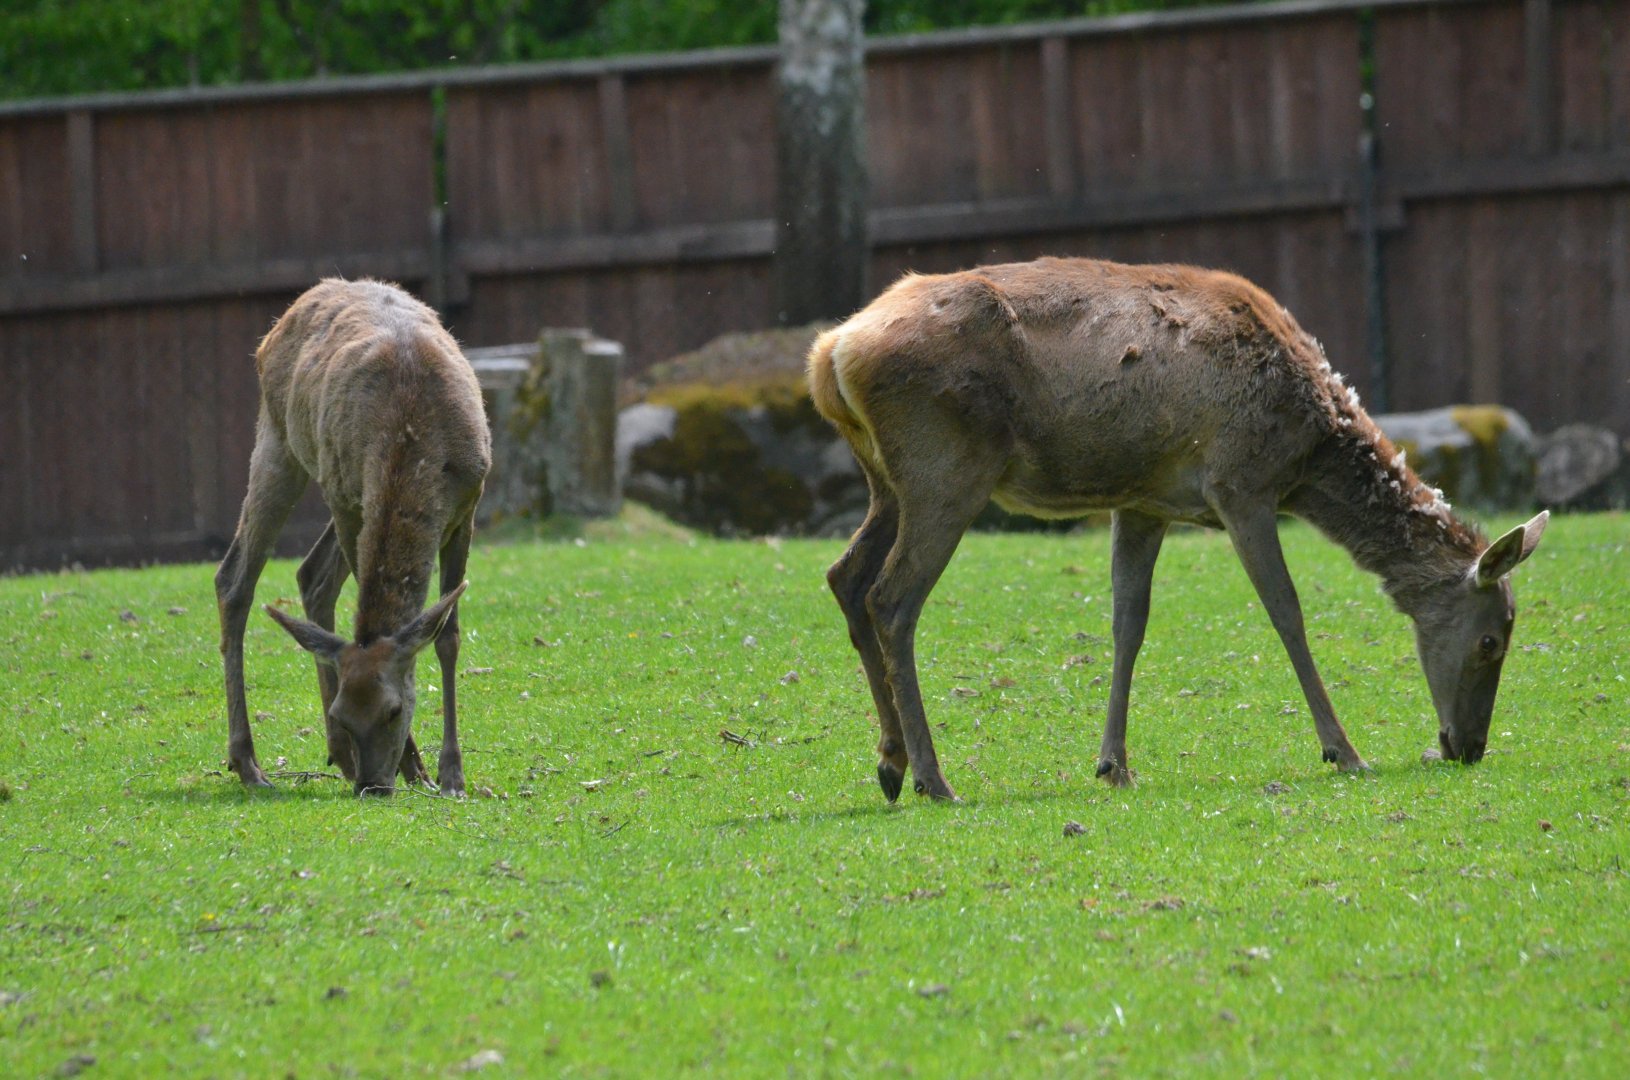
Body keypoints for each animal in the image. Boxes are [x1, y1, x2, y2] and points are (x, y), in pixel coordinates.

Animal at [214, 278, 492, 797]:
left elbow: (446, 636)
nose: (372, 785)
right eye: (344, 714)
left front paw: (451, 774)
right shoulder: (347, 495)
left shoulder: (469, 503)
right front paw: (417, 766)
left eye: (394, 711)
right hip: (282, 444)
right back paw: (250, 763)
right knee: (235, 578)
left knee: (310, 575)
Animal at [807, 256, 1548, 803]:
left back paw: (891, 764)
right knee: (891, 597)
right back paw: (934, 778)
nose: (1467, 747)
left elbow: (1127, 622)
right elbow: (1286, 612)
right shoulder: (1240, 484)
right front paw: (1344, 751)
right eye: (1492, 640)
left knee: (846, 577)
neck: (1308, 448)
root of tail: (831, 352)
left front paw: (1114, 764)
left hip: (887, 481)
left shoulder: (1144, 503)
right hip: (946, 469)